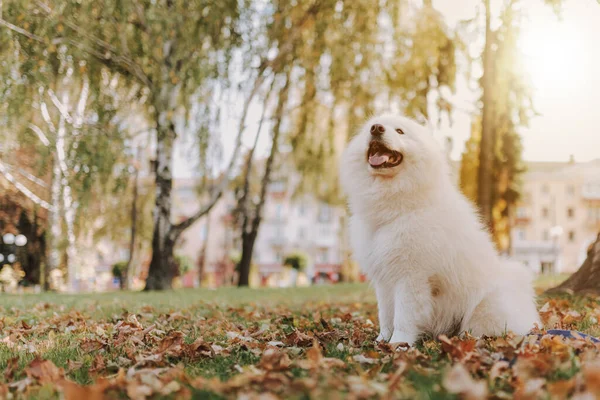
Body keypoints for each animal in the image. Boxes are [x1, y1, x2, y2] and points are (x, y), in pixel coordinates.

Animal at [340, 114, 540, 346]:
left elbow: (403, 317)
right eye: (370, 129)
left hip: (485, 306)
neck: (399, 209)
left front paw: (399, 344)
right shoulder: (384, 278)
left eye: (399, 131)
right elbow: (386, 315)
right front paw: (381, 341)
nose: (376, 128)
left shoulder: (411, 276)